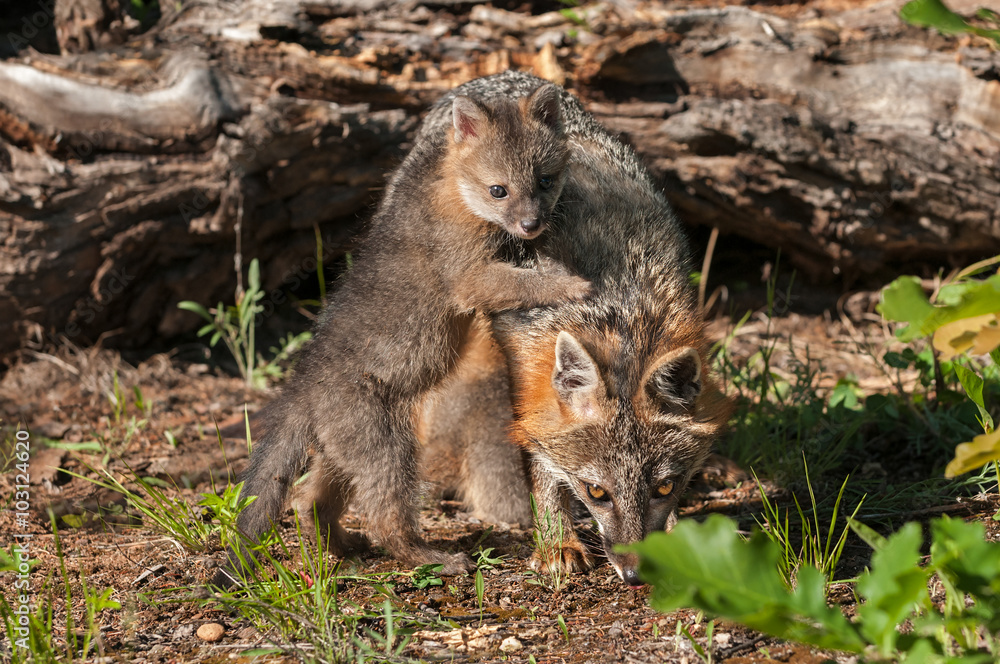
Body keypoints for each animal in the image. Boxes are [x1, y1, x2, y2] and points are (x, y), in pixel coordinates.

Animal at [213, 80, 591, 586]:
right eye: (499, 190)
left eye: (546, 181)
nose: (532, 224)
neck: (451, 192)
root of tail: (301, 386)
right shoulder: (471, 278)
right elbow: (525, 282)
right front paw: (573, 283)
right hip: (393, 454)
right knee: (385, 521)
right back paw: (433, 558)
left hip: (345, 459)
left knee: (307, 503)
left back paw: (346, 548)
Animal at [416, 71, 732, 586]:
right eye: (596, 492)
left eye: (665, 486)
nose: (634, 574)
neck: (620, 307)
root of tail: (499, 78)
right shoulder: (526, 366)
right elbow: (543, 462)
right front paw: (557, 542)